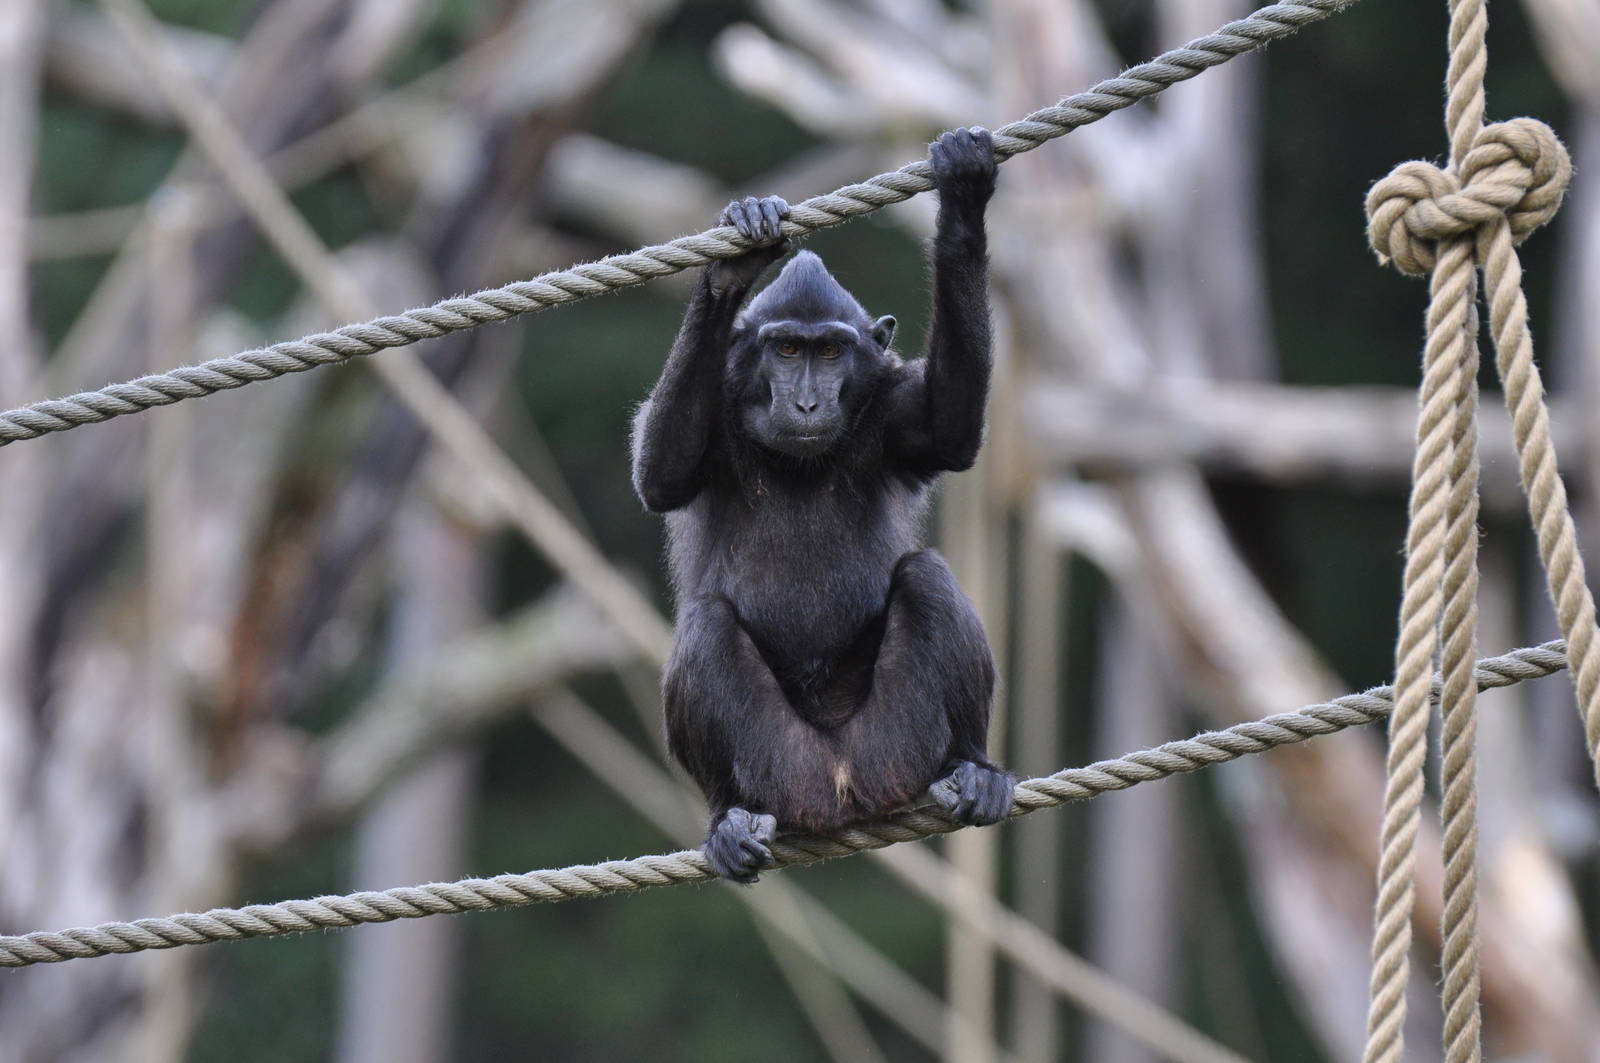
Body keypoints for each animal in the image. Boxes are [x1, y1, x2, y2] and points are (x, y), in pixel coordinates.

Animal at [631, 127, 1013, 883]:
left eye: (831, 352)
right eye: (785, 349)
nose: (807, 401)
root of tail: (840, 787)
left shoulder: (891, 408)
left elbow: (947, 428)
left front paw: (961, 202)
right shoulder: (715, 415)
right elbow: (660, 472)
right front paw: (733, 267)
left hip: (895, 742)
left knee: (926, 577)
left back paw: (971, 767)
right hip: (780, 765)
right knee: (706, 625)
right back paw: (728, 819)